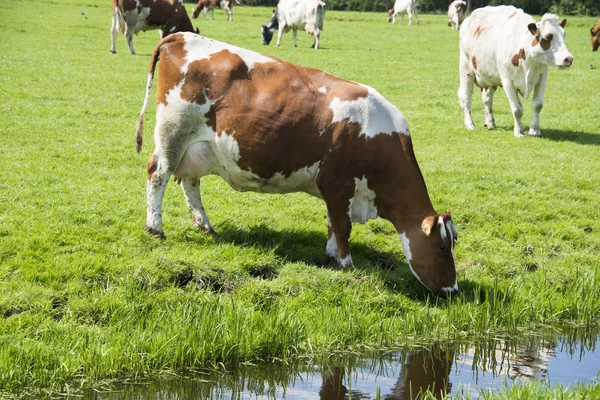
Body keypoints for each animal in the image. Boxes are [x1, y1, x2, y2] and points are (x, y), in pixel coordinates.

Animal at [135, 32, 460, 296]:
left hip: (196, 149)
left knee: (190, 182)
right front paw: (347, 263)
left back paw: (205, 226)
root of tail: (181, 36)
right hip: (172, 134)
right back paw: (155, 228)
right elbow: (343, 227)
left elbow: (332, 224)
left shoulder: (335, 192)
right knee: (157, 175)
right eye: (442, 246)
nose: (453, 290)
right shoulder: (339, 185)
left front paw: (331, 256)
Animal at [458, 6, 576, 137]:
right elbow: (517, 109)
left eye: (564, 35)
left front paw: (534, 131)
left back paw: (490, 123)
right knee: (465, 96)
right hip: (466, 68)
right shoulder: (508, 81)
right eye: (548, 36)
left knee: (487, 98)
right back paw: (470, 125)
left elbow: (538, 105)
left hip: (489, 77)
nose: (568, 58)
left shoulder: (542, 78)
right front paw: (519, 131)